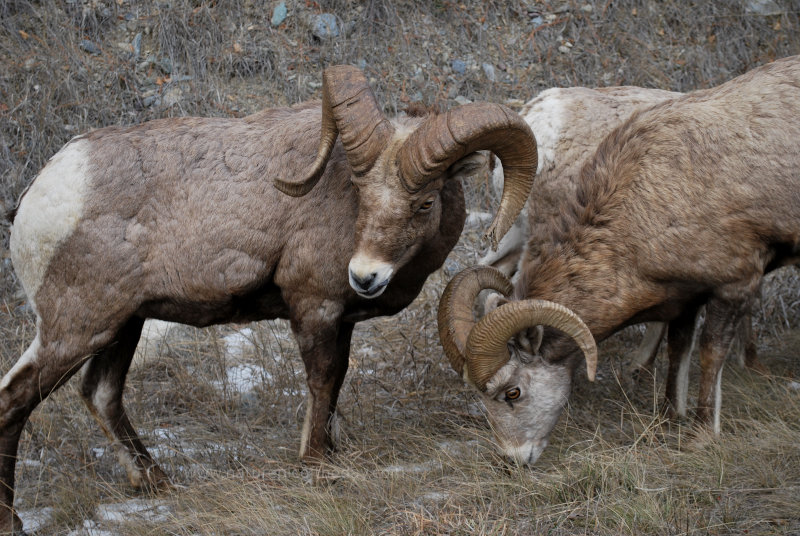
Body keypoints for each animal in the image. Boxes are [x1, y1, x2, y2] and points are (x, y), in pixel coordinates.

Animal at [1, 63, 536, 532]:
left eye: (424, 203)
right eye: (360, 194)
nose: (365, 277)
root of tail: (43, 193)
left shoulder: (341, 322)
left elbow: (336, 383)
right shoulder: (315, 309)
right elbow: (321, 383)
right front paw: (317, 468)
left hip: (121, 327)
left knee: (101, 393)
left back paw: (157, 483)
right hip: (77, 329)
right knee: (16, 398)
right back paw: (14, 520)